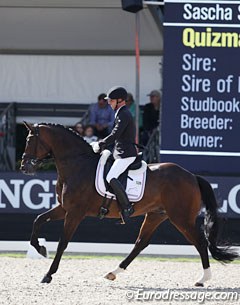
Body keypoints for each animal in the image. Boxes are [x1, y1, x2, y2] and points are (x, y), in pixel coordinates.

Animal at [20, 121, 238, 284]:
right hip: (157, 215)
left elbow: (62, 243)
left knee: (200, 242)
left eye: (30, 140)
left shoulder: (75, 212)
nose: (23, 167)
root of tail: (192, 176)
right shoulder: (64, 208)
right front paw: (40, 249)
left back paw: (203, 279)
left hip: (181, 218)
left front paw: (48, 274)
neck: (77, 164)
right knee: (141, 243)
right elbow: (38, 220)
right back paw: (113, 272)